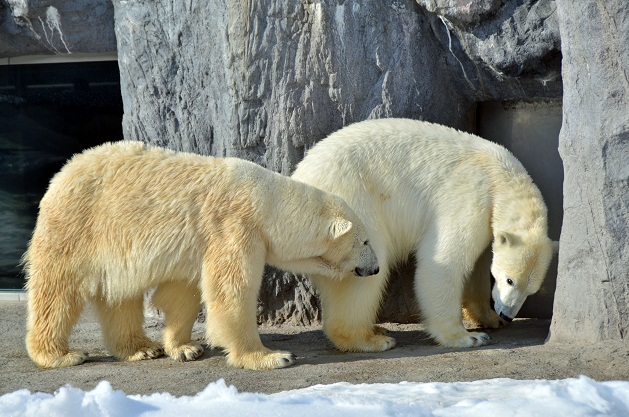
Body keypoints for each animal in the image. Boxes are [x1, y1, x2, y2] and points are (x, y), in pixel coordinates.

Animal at [23, 141, 378, 368]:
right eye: (365, 241)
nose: (375, 269)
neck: (266, 201)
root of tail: (62, 173)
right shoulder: (234, 226)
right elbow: (231, 291)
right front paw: (271, 357)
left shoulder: (199, 242)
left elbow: (183, 291)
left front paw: (185, 348)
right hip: (78, 226)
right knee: (58, 291)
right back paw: (59, 354)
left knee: (120, 297)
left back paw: (141, 348)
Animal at [290, 118, 556, 350]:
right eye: (510, 280)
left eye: (531, 290)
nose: (507, 314)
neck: (501, 177)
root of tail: (299, 175)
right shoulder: (472, 195)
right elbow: (445, 260)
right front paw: (468, 337)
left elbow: (478, 264)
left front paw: (490, 318)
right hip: (352, 201)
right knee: (368, 267)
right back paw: (369, 339)